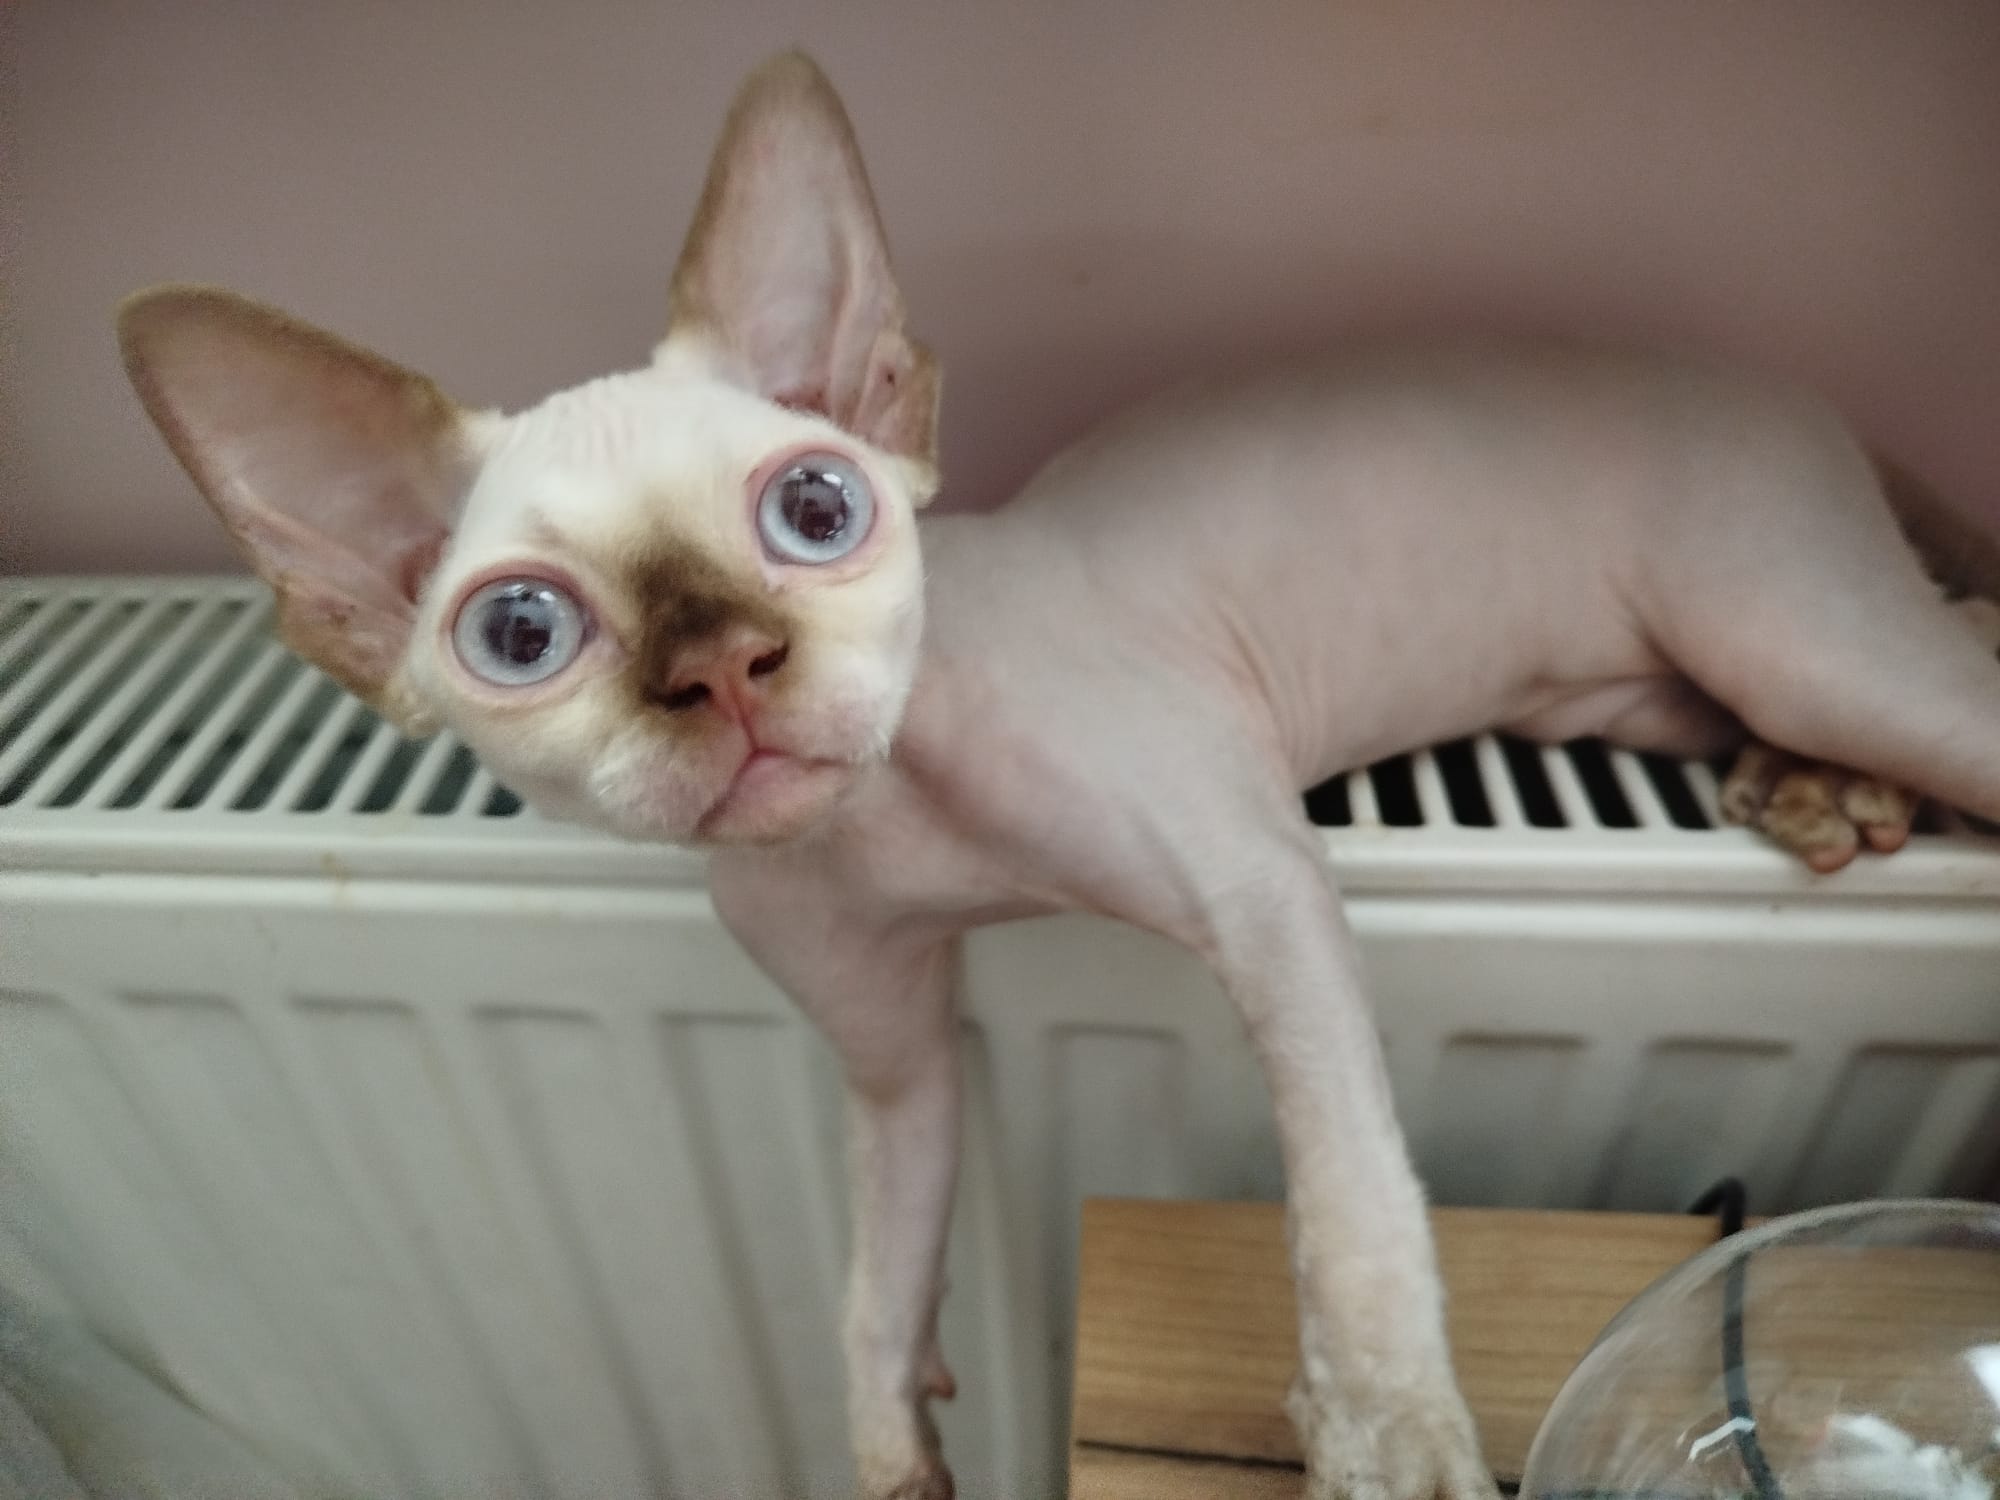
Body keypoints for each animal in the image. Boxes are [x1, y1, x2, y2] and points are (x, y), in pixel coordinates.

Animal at [116, 51, 2000, 1500]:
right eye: (519, 630)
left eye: (817, 509)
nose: (722, 666)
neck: (888, 823)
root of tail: (1780, 395)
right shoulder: (889, 1055)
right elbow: (876, 1272)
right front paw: (890, 1443)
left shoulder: (1259, 889)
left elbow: (1353, 1208)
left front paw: (1390, 1439)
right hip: (1667, 674)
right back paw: (1812, 790)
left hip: (1788, 621)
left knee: (1962, 648)